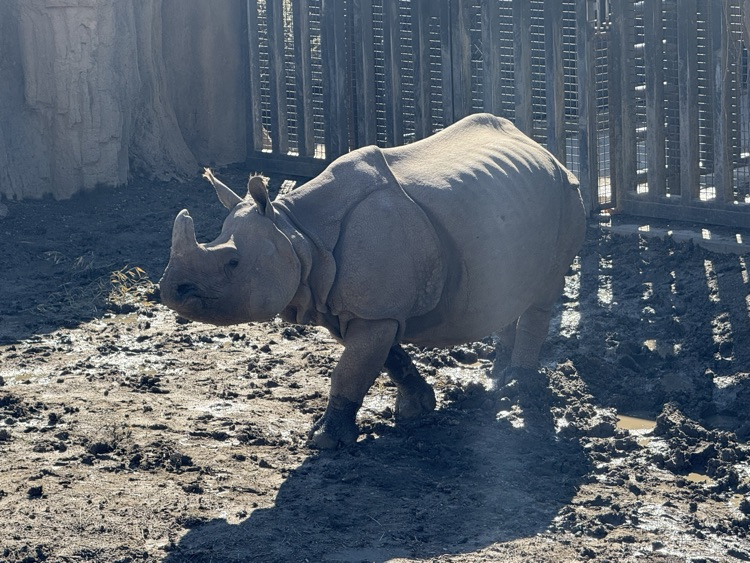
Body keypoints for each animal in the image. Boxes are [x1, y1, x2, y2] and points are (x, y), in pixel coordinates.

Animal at [159, 113, 586, 449]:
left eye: (232, 262)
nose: (170, 291)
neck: (299, 235)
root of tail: (544, 150)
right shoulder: (355, 308)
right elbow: (387, 359)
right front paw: (418, 407)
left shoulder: (374, 311)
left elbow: (351, 370)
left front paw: (324, 441)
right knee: (513, 291)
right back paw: (496, 378)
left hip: (567, 195)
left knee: (542, 293)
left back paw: (517, 385)